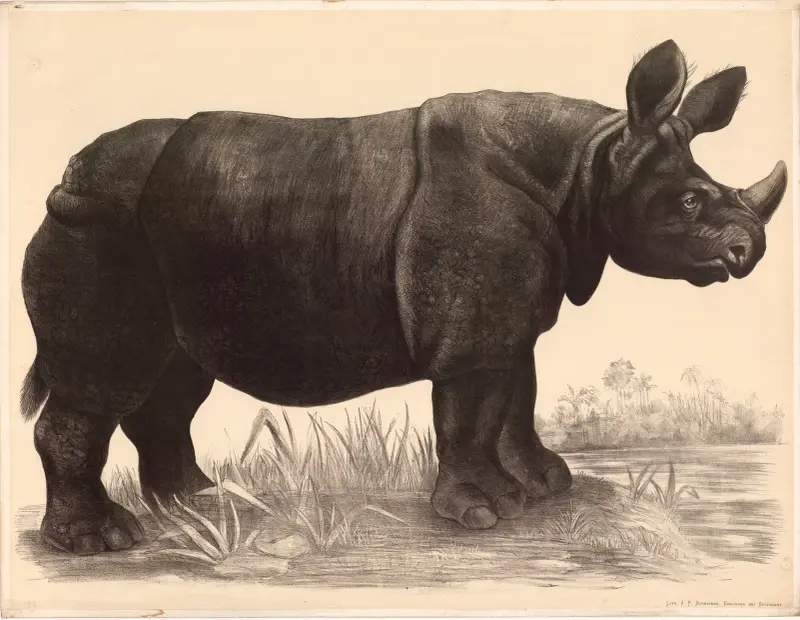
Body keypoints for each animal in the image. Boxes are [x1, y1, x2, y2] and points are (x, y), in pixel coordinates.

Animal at [20, 39, 787, 555]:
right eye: (689, 203)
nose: (748, 251)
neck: (589, 164)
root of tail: (68, 178)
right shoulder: (472, 324)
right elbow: (473, 411)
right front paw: (482, 514)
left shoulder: (508, 316)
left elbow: (517, 396)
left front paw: (545, 486)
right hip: (99, 226)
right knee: (105, 379)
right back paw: (101, 542)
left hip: (158, 238)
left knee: (172, 380)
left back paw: (196, 501)